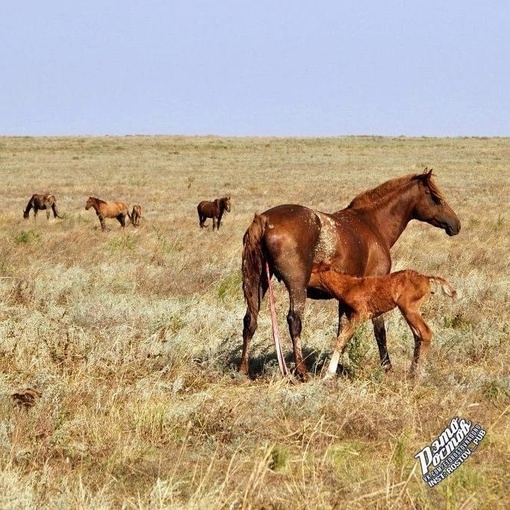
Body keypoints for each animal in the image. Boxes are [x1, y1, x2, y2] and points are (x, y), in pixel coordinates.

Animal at [308, 262, 456, 378]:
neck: (350, 287)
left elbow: (341, 340)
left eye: (312, 271)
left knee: (426, 333)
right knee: (417, 335)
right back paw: (411, 373)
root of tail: (426, 278)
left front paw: (328, 375)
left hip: (409, 308)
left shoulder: (360, 315)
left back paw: (417, 374)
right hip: (408, 310)